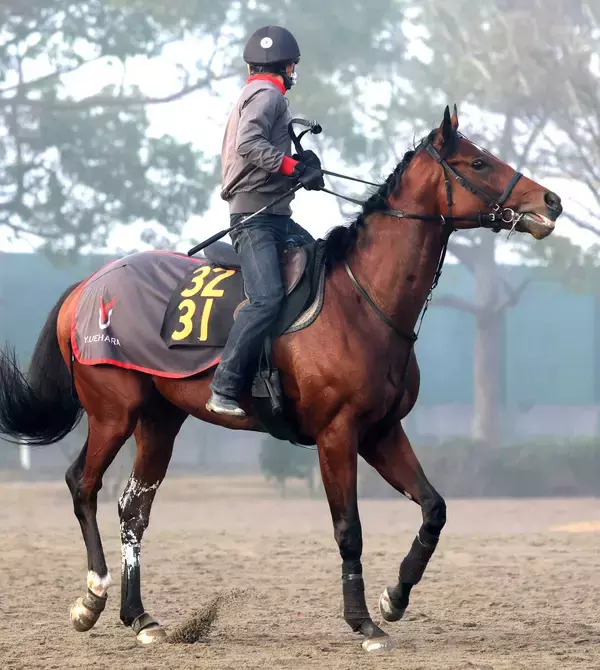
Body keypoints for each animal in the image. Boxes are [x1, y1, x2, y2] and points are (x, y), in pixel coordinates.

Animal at [0, 106, 562, 652]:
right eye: (479, 163)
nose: (552, 201)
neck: (362, 299)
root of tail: (88, 286)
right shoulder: (337, 434)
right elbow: (349, 528)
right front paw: (363, 622)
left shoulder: (381, 431)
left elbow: (433, 509)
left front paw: (394, 598)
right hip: (114, 413)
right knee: (83, 483)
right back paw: (91, 597)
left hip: (160, 421)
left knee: (133, 508)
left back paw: (140, 617)